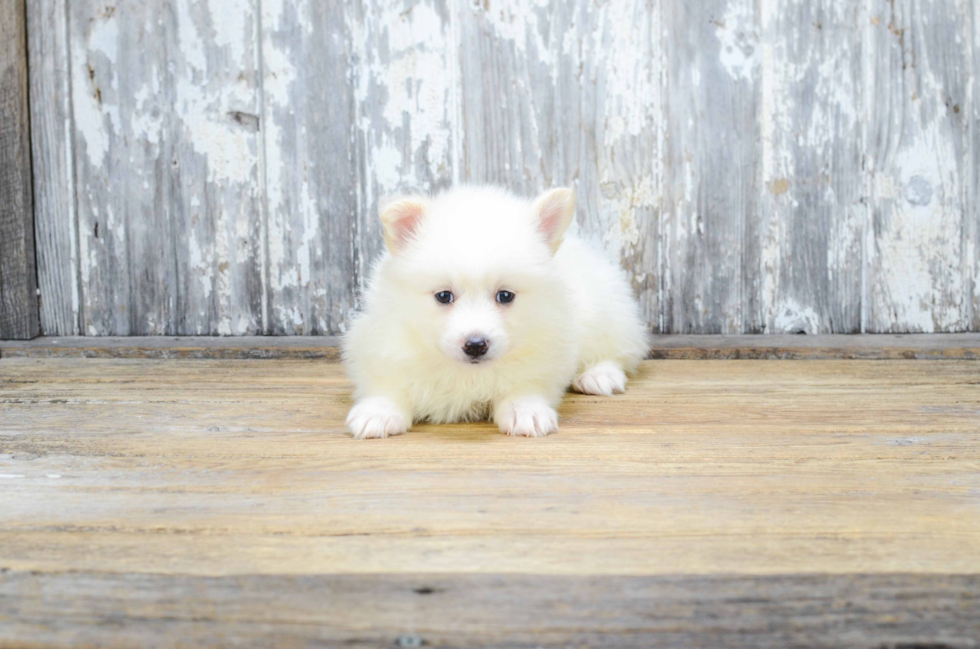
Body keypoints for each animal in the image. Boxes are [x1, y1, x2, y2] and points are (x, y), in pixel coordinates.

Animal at [344, 187, 652, 440]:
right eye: (444, 296)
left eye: (505, 296)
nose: (475, 345)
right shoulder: (384, 339)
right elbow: (387, 383)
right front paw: (379, 411)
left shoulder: (547, 343)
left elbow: (524, 381)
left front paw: (525, 410)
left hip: (605, 312)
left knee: (619, 350)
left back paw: (599, 375)